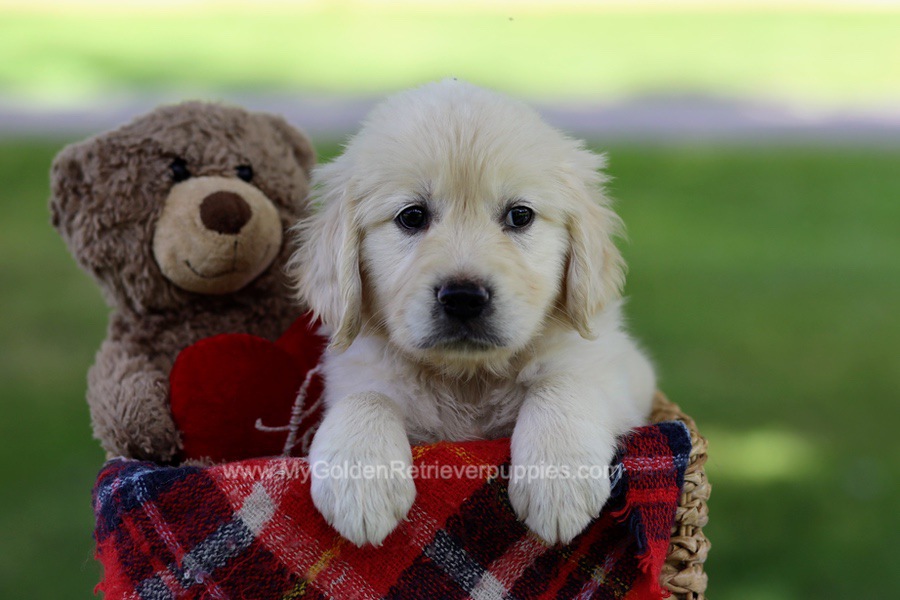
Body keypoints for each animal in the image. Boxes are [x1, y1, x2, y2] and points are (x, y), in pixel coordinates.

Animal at [294, 81, 652, 548]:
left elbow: (561, 382)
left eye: (520, 215)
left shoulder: (620, 371)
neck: (469, 379)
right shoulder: (356, 371)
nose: (463, 298)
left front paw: (557, 483)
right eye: (412, 216)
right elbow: (366, 397)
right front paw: (360, 482)